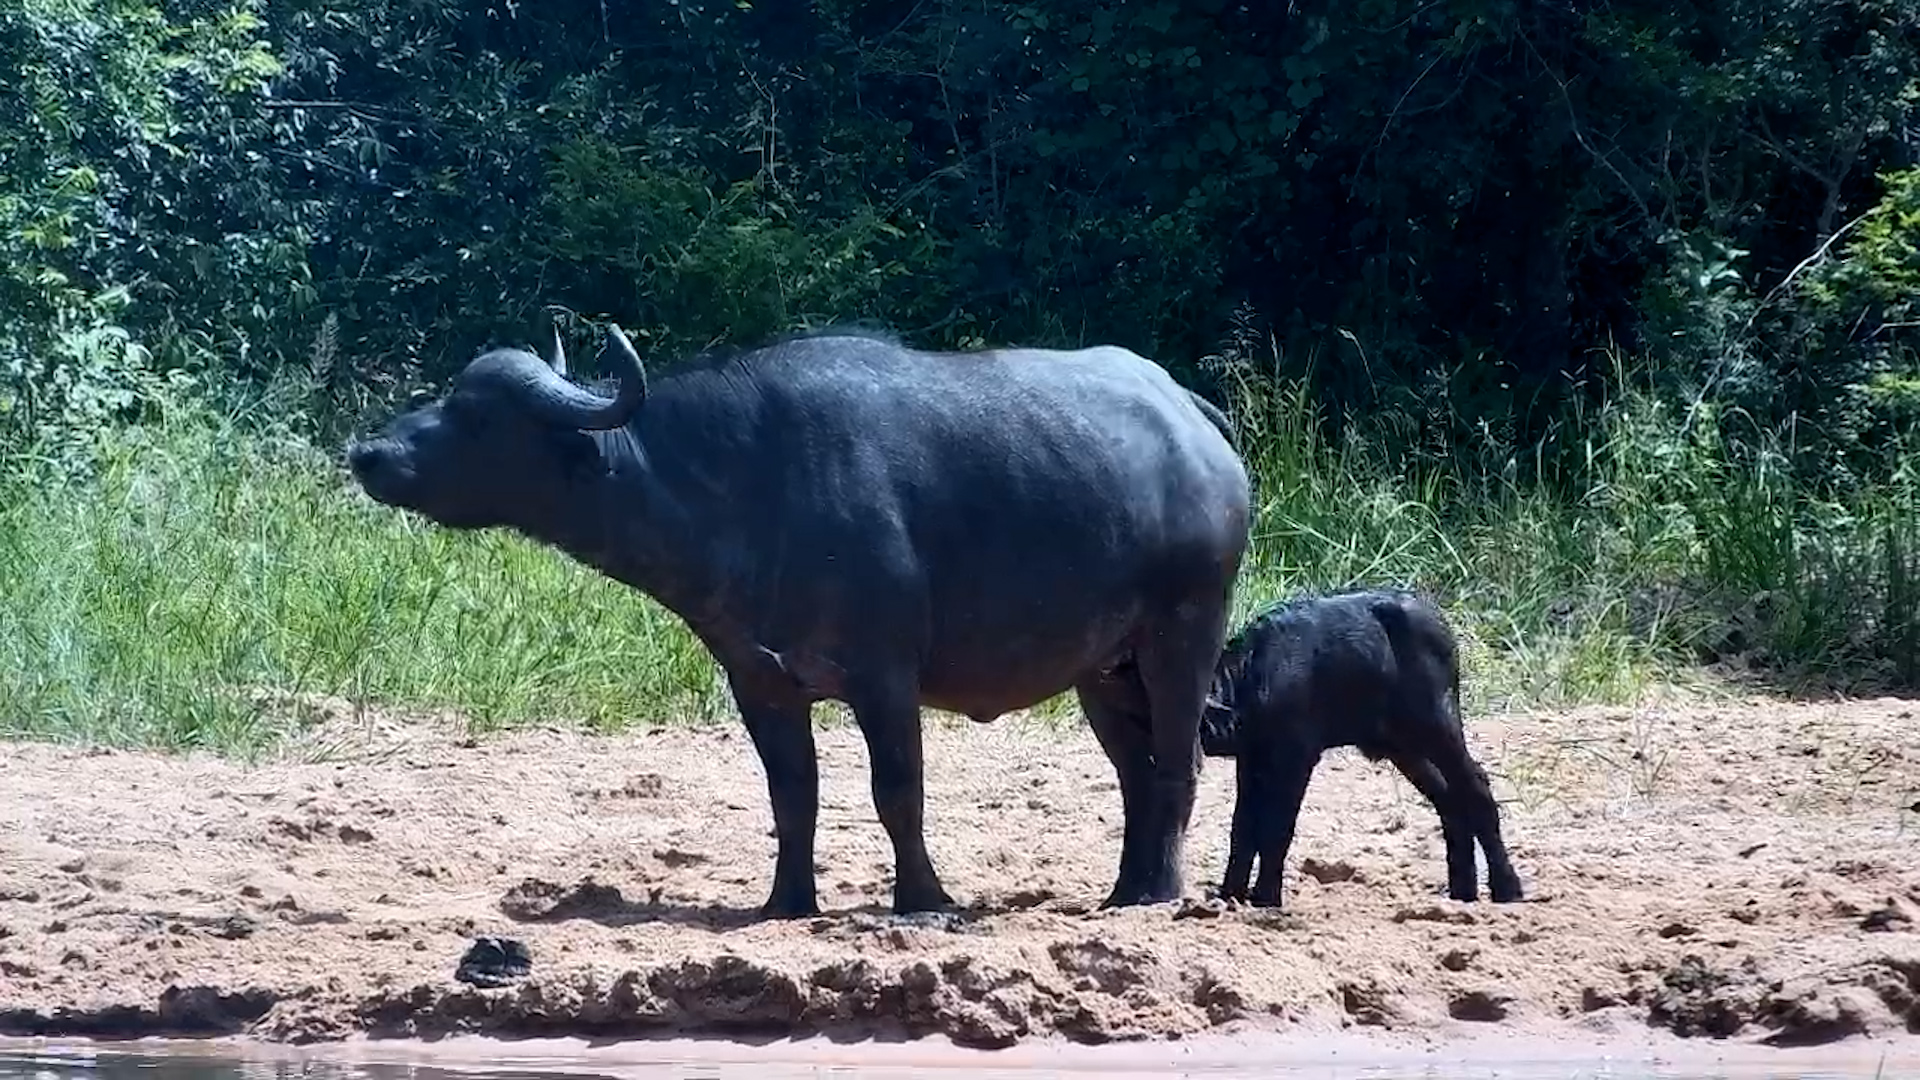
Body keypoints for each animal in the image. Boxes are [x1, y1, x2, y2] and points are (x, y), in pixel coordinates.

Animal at [346, 320, 1252, 919]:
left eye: (479, 415)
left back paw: (1159, 894)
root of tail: (1194, 421)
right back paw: (1125, 886)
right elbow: (795, 798)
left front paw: (923, 898)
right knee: (1135, 774)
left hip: (1184, 636)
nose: (369, 453)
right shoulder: (761, 684)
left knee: (1177, 763)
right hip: (1105, 669)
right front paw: (788, 901)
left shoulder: (885, 680)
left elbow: (897, 793)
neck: (751, 491)